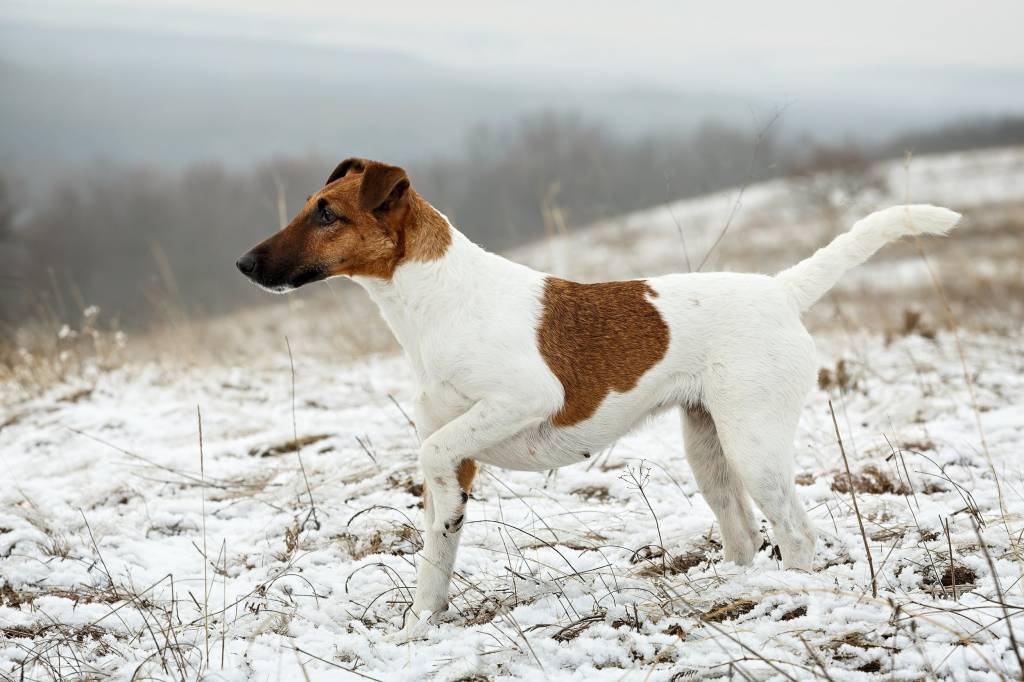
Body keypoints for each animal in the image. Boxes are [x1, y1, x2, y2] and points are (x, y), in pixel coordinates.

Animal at [237, 158, 960, 637]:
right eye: (311, 205)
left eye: (328, 214)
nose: (243, 264)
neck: (437, 298)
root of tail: (780, 291)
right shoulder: (461, 455)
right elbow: (435, 557)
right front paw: (419, 628)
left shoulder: (522, 400)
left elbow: (435, 453)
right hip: (709, 448)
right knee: (743, 533)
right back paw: (734, 592)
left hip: (754, 445)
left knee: (797, 533)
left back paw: (786, 598)